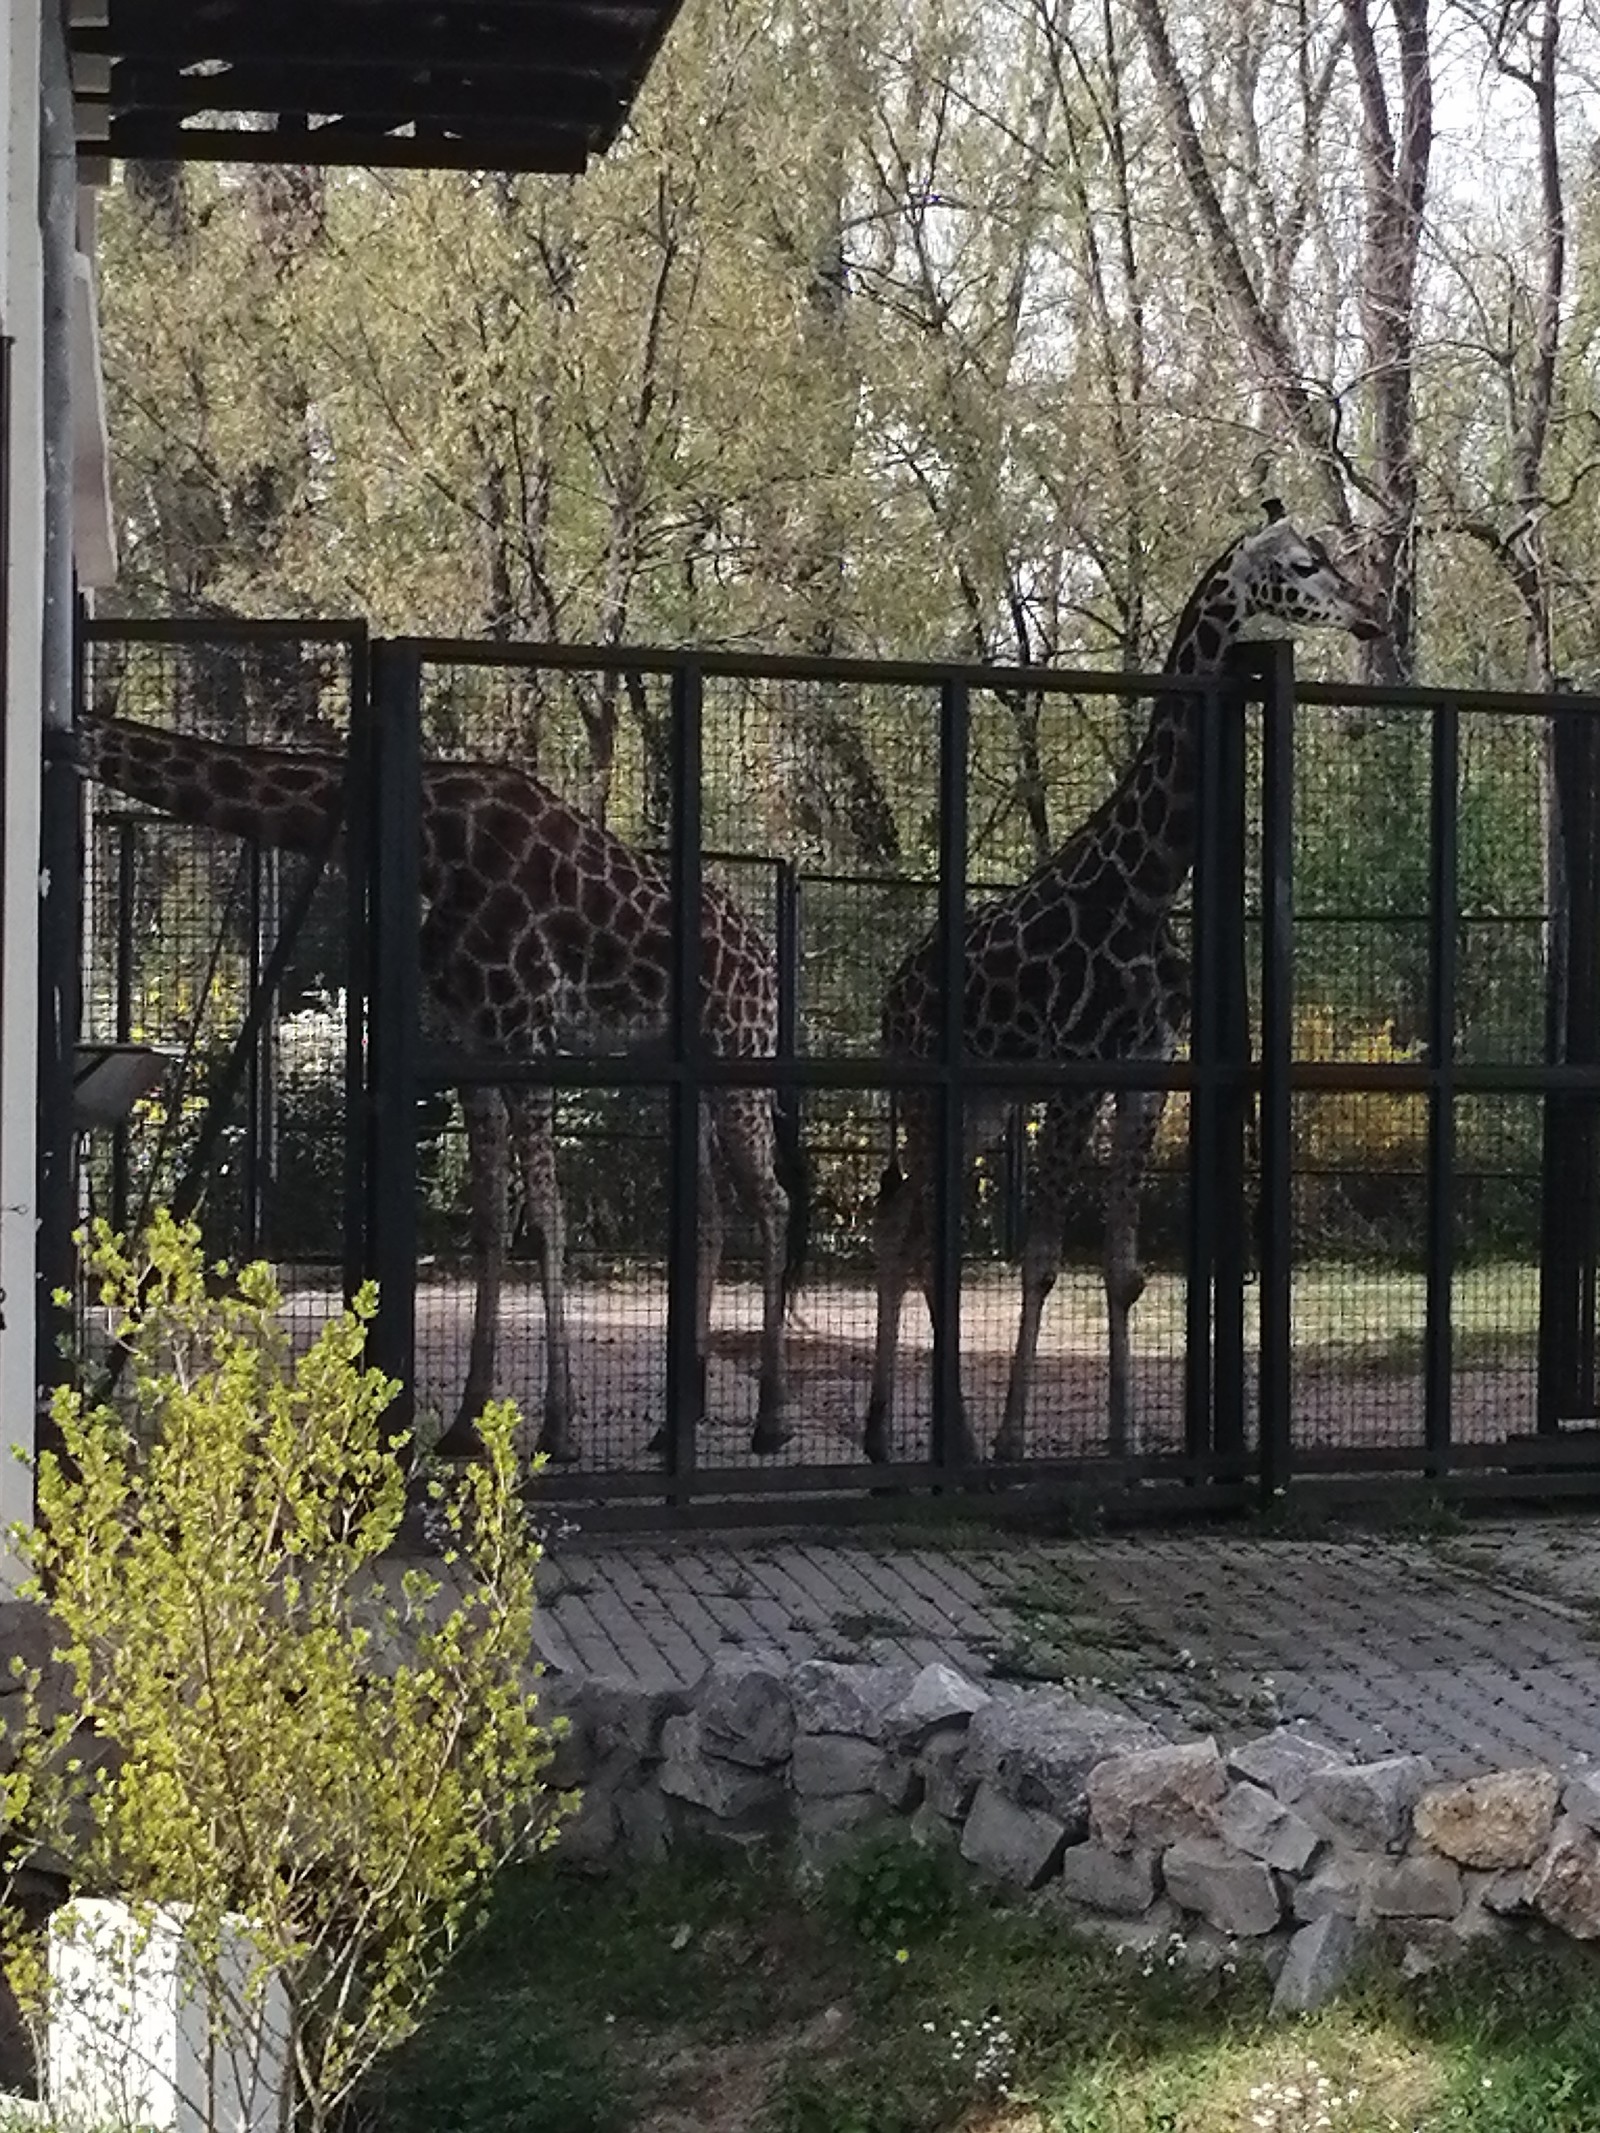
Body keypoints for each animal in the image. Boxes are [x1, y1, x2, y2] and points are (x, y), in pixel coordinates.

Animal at [80, 716, 806, 1467]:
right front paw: (465, 1423)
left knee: (772, 1200)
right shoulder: (470, 1041)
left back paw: (772, 1418)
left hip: (740, 1050)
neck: (436, 840)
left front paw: (559, 1428)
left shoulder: (523, 1030)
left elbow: (546, 1218)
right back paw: (677, 1420)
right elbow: (488, 1221)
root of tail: (765, 958)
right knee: (712, 1214)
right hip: (683, 1070)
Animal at [870, 499, 1382, 1467]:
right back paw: (931, 1436)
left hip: (980, 1106)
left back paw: (912, 1433)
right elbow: (1039, 1262)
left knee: (907, 1226)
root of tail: (892, 993)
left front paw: (1129, 1436)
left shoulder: (1147, 1073)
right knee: (910, 1232)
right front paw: (1013, 1441)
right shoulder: (1075, 1074)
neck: (1142, 893)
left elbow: (1124, 1270)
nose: (1372, 614)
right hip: (922, 1093)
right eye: (1304, 563)